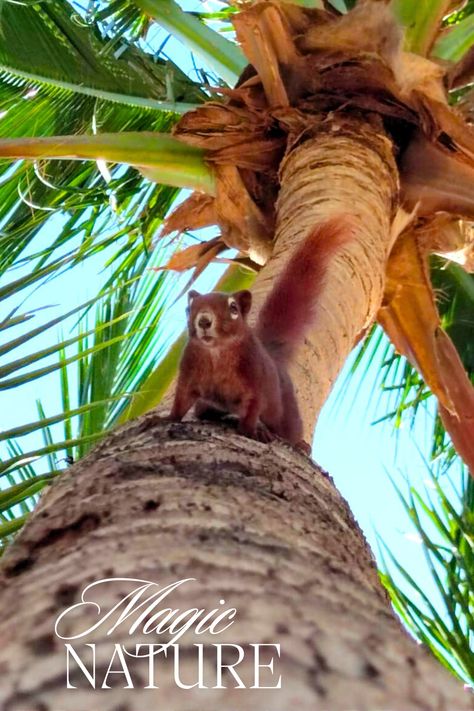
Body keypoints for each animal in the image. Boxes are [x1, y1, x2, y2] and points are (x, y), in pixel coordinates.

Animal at [169, 217, 352, 450]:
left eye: (233, 309)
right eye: (189, 308)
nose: (203, 321)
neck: (217, 354)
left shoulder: (256, 378)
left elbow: (253, 407)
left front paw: (251, 431)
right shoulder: (189, 372)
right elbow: (181, 400)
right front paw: (165, 419)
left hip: (285, 410)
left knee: (286, 427)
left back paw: (298, 443)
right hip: (208, 404)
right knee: (204, 409)